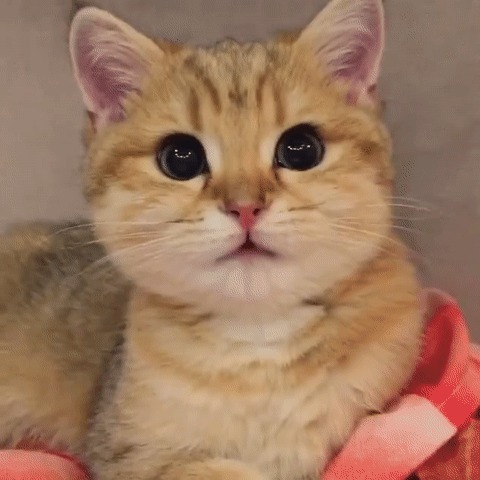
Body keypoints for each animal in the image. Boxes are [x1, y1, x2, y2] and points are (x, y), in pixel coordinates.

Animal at [0, 0, 424, 479]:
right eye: (180, 157)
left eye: (301, 149)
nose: (245, 207)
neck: (259, 338)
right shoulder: (129, 457)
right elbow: (221, 469)